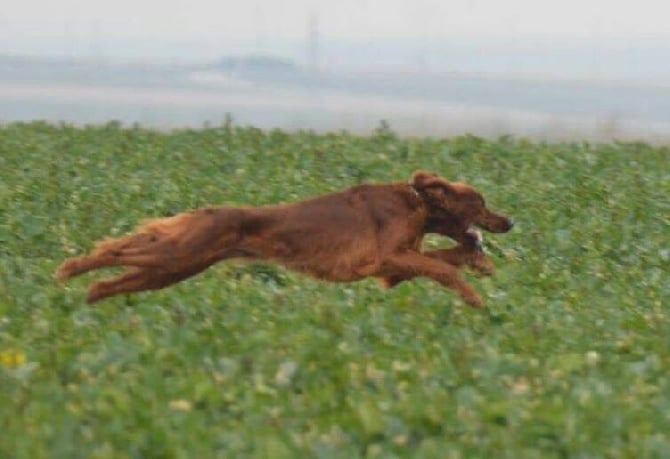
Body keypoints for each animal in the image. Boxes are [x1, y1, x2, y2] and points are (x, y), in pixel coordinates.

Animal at [57, 172, 516, 310]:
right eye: (481, 203)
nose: (509, 221)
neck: (416, 202)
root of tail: (210, 211)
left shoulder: (395, 265)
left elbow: (446, 257)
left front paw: (479, 261)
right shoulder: (384, 259)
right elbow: (441, 267)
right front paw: (475, 298)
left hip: (174, 268)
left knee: (116, 278)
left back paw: (91, 296)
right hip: (179, 256)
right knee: (114, 251)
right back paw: (69, 270)